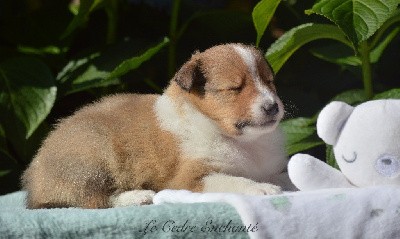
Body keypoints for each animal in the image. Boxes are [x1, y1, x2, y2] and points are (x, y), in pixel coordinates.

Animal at [21, 44, 290, 208]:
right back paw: (138, 195)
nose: (272, 107)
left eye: (270, 81)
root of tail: (32, 178)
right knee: (91, 200)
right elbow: (234, 181)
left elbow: (283, 175)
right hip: (92, 155)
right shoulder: (189, 179)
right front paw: (264, 189)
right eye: (235, 88)